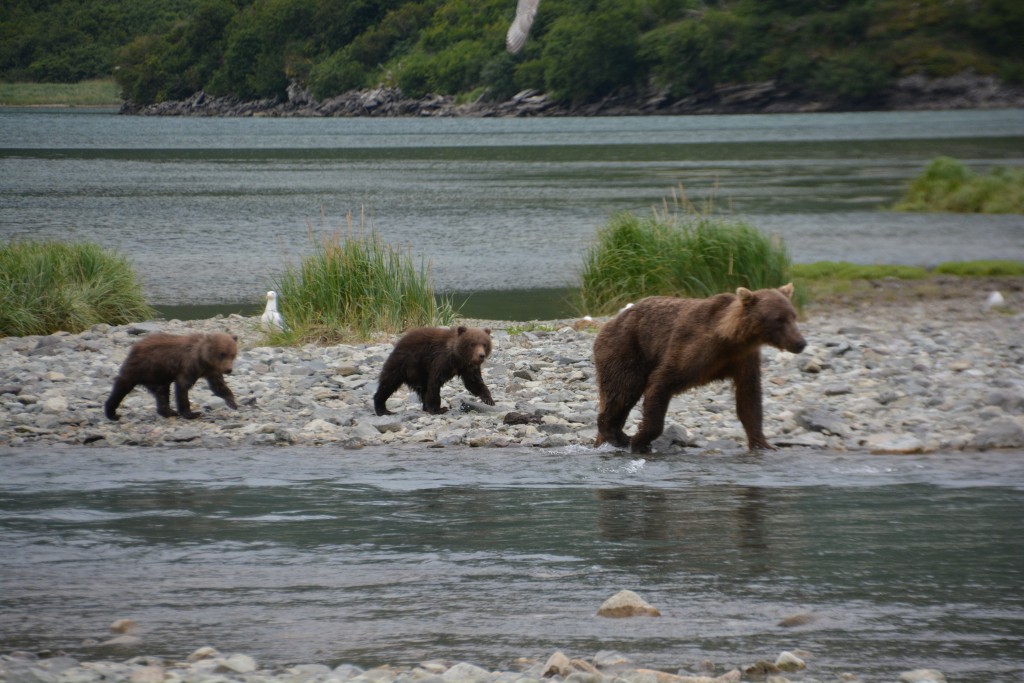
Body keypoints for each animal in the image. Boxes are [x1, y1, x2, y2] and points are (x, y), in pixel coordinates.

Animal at [104, 331, 238, 421]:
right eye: (222, 354)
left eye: (232, 354)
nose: (228, 369)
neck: (203, 360)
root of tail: (135, 347)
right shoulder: (189, 365)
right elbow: (183, 386)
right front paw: (192, 413)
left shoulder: (212, 370)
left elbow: (218, 385)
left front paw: (232, 402)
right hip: (141, 367)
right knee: (122, 386)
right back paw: (112, 413)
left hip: (158, 376)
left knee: (162, 392)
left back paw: (169, 411)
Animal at [598, 284, 802, 454]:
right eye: (778, 319)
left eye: (793, 315)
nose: (800, 343)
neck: (730, 340)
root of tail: (609, 323)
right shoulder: (691, 349)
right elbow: (661, 382)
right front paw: (640, 441)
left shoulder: (744, 360)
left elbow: (749, 397)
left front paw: (762, 444)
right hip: (626, 349)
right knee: (623, 391)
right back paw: (618, 436)